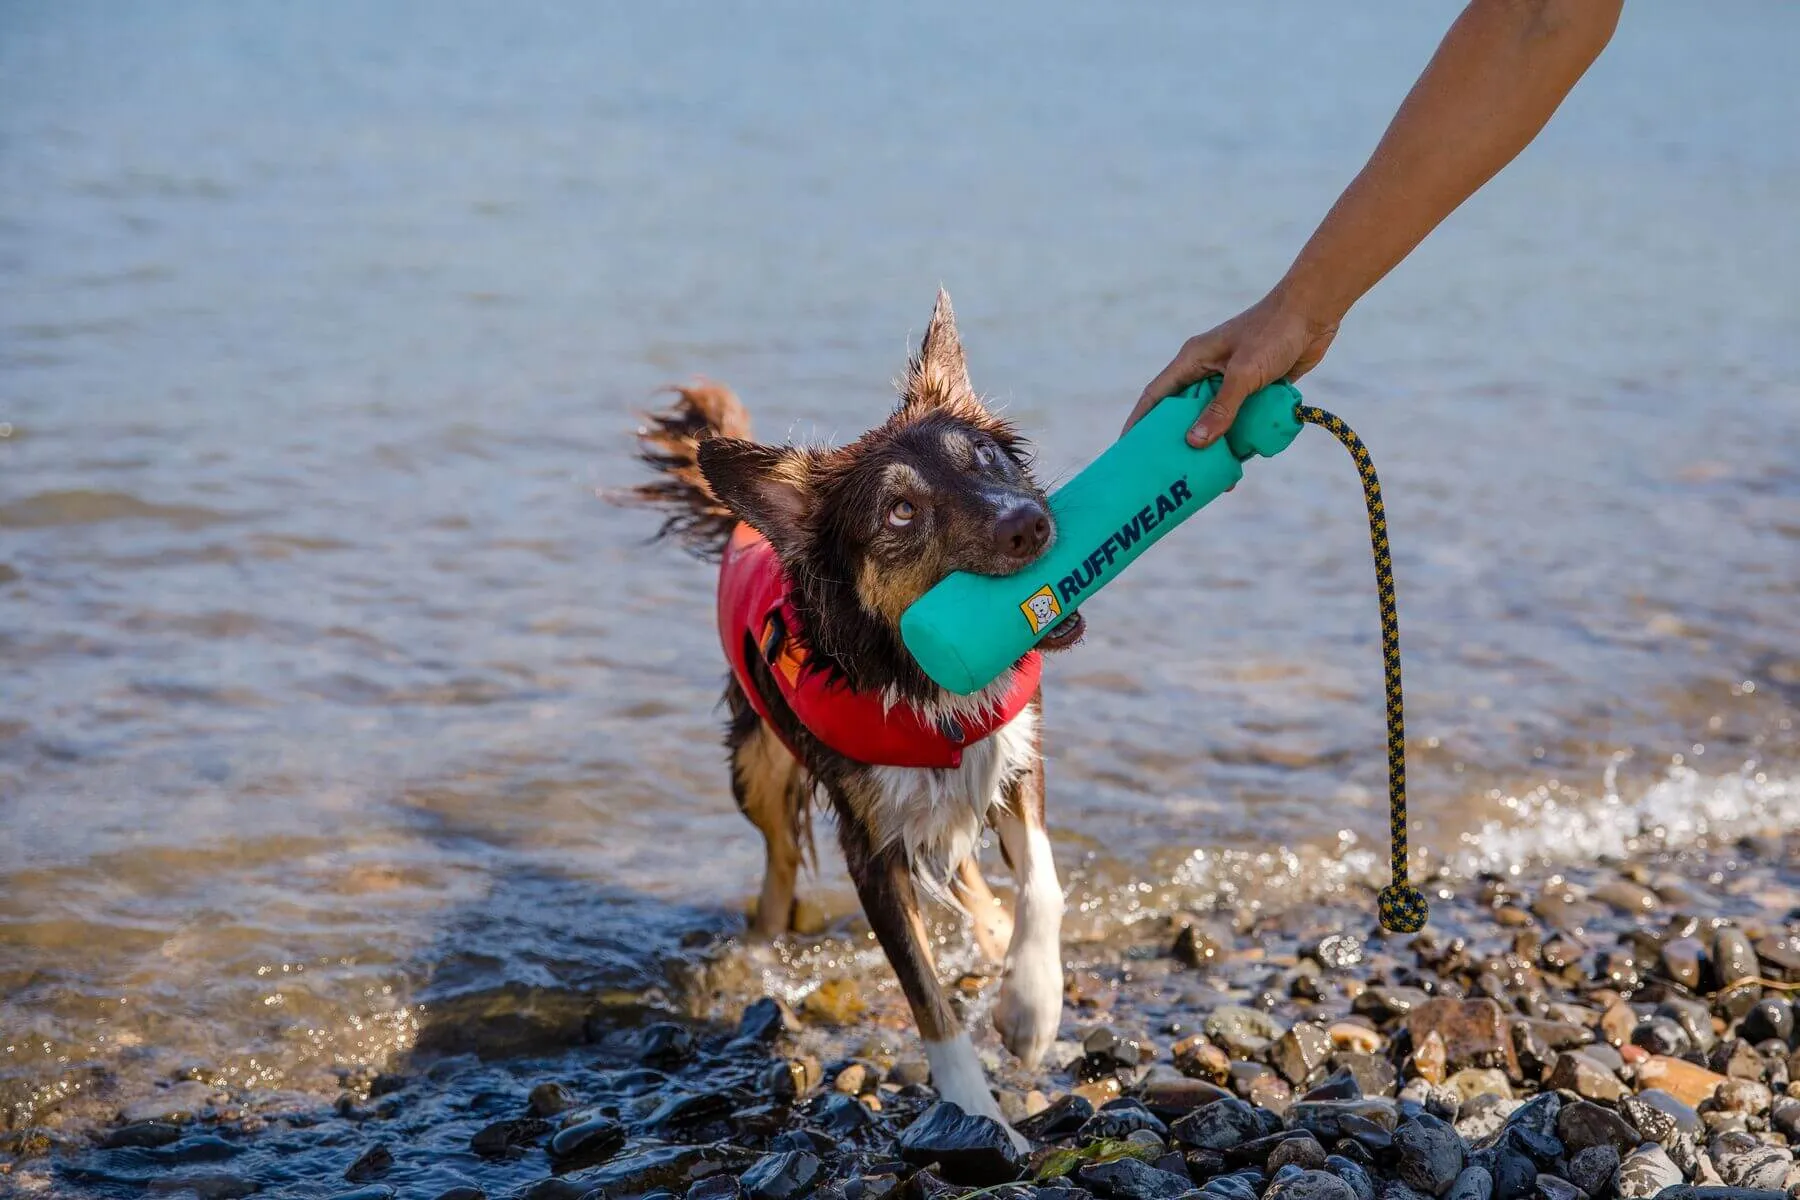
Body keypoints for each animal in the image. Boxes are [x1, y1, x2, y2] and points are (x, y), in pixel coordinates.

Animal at [619, 287, 1080, 1137]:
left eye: (987, 459)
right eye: (900, 511)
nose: (1028, 526)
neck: (928, 688)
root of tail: (747, 522)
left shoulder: (1012, 752)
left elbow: (1042, 882)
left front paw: (1030, 1008)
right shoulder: (870, 847)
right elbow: (926, 994)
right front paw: (974, 1111)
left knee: (964, 866)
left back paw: (993, 938)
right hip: (756, 769)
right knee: (776, 869)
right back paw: (757, 954)